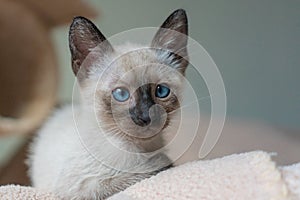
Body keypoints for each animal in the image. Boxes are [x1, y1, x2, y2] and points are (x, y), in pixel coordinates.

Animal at [27, 8, 188, 199]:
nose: (145, 117)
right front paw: (161, 163)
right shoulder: (78, 189)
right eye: (121, 94)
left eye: (161, 91)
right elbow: (144, 171)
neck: (140, 149)